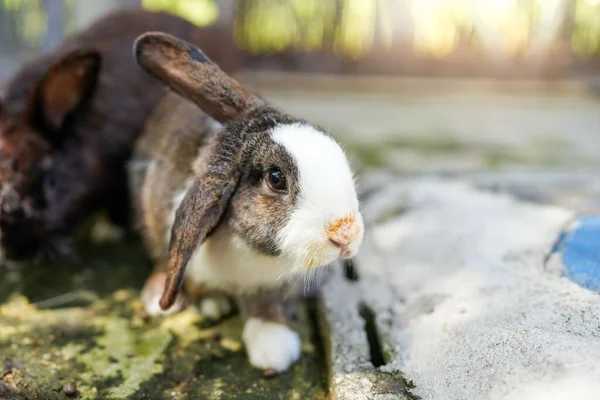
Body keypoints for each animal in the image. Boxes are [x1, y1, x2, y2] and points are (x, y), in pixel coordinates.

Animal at [133, 32, 364, 376]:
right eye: (276, 178)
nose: (346, 235)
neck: (246, 249)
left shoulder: (269, 287)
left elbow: (266, 305)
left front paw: (273, 348)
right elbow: (167, 259)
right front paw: (165, 302)